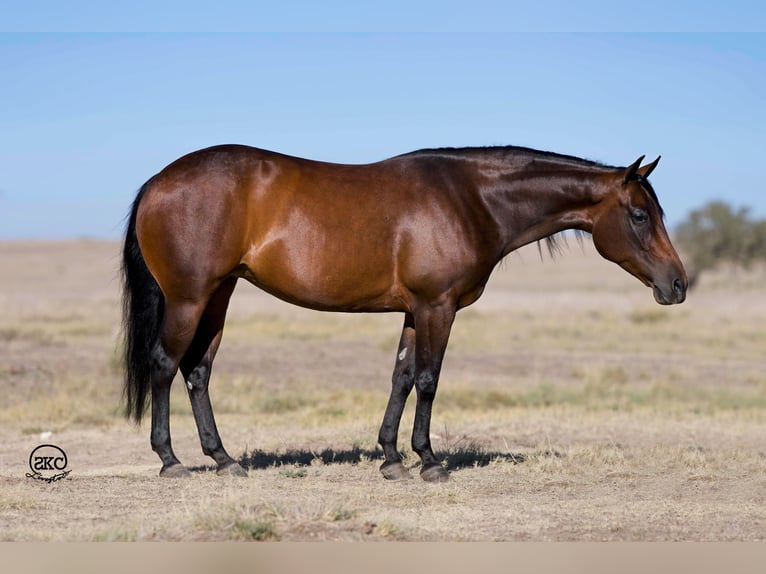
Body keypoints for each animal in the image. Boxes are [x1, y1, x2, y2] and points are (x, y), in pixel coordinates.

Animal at [121, 144, 688, 482]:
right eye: (641, 215)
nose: (678, 285)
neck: (472, 199)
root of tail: (157, 180)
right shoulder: (438, 306)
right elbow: (430, 379)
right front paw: (429, 461)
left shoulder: (415, 310)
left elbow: (402, 376)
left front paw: (392, 458)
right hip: (190, 298)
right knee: (166, 365)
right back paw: (171, 461)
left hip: (218, 296)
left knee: (198, 371)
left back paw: (224, 459)